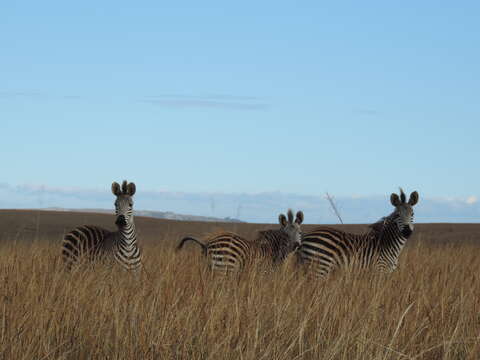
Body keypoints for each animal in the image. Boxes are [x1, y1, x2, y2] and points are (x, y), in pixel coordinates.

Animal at [176, 210, 304, 272]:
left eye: (299, 232)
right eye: (285, 235)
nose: (295, 245)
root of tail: (206, 244)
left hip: (208, 268)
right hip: (225, 268)